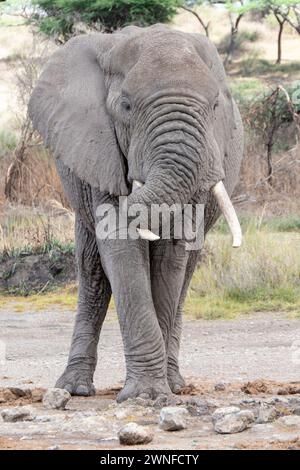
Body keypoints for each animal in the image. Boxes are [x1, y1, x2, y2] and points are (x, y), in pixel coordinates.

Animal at [28, 23, 244, 402]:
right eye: (126, 106)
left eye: (216, 105)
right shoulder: (101, 150)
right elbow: (120, 246)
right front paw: (146, 396)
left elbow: (170, 255)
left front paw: (153, 394)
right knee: (92, 271)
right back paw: (73, 389)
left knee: (185, 274)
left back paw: (176, 383)